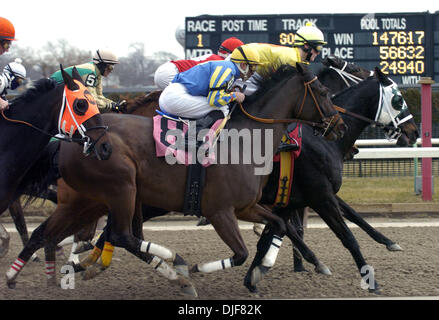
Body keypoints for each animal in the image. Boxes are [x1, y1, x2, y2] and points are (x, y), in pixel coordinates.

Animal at [246, 66, 422, 294]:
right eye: (398, 99)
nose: (414, 131)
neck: (322, 140)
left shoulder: (296, 196)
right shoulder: (320, 195)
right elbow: (348, 237)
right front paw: (371, 281)